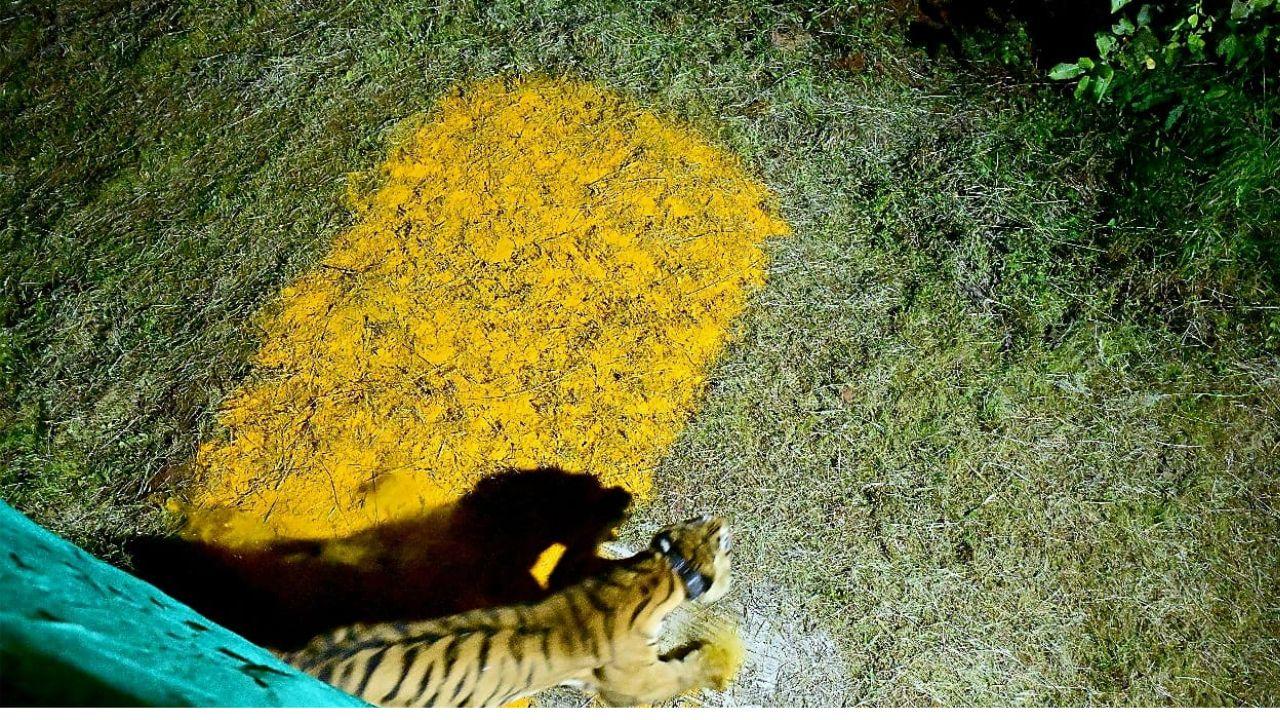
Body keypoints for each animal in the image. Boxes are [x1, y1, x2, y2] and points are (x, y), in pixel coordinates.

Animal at [280, 515, 735, 707]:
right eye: (723, 543)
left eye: (701, 523)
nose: (721, 520)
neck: (662, 572)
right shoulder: (633, 686)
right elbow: (682, 673)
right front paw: (719, 665)